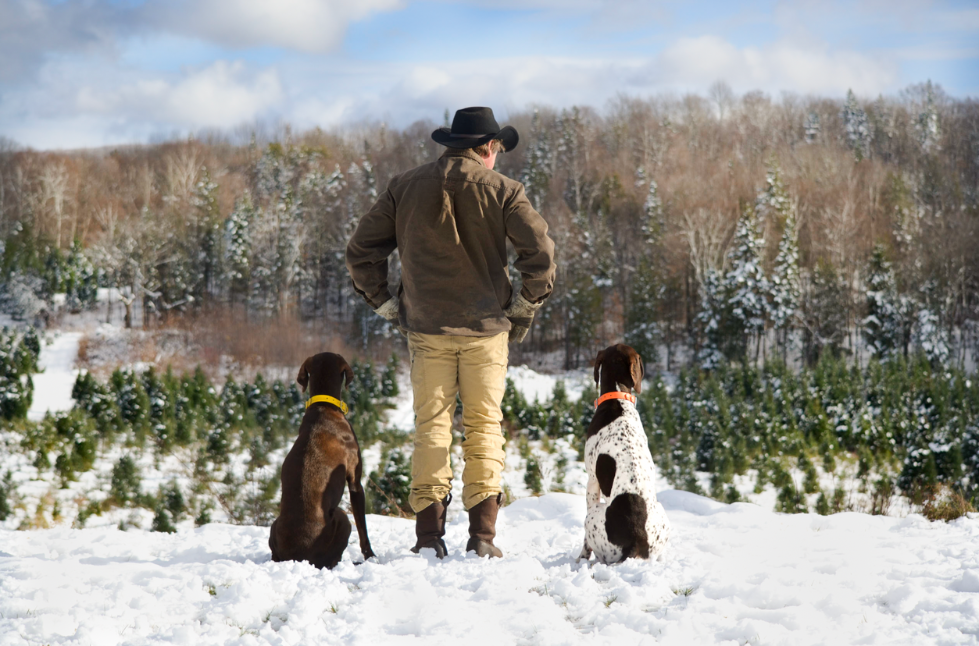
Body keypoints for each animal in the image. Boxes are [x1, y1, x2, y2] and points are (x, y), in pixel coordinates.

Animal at [270, 352, 378, 568]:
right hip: (342, 517)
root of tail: (298, 558)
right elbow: (363, 528)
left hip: (274, 524)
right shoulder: (355, 483)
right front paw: (371, 556)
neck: (323, 406)